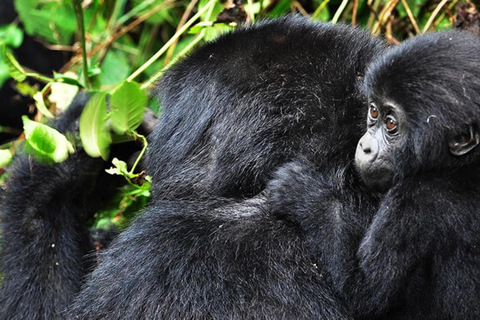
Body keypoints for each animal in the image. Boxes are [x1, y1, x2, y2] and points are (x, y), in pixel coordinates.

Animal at [270, 30, 480, 320]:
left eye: (390, 124)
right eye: (373, 111)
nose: (364, 146)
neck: (458, 166)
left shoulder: (412, 200)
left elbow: (365, 293)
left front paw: (304, 195)